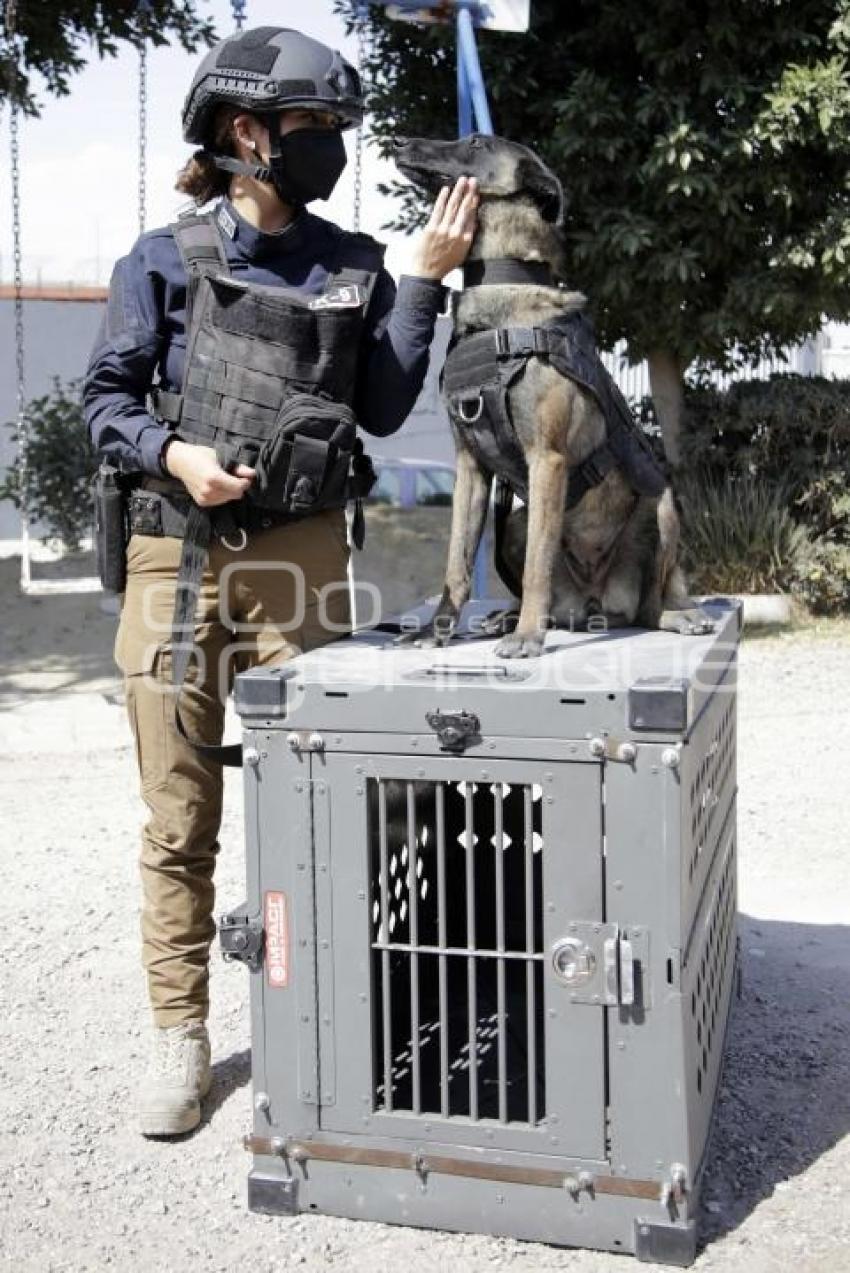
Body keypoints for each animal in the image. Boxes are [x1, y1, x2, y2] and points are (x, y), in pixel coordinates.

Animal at [394, 135, 712, 661]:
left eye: (476, 143)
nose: (399, 142)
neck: (501, 296)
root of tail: (593, 603)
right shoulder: (470, 467)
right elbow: (457, 562)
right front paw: (436, 630)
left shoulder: (548, 459)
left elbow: (536, 568)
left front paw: (528, 637)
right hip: (517, 522)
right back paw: (505, 617)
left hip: (662, 510)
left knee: (651, 605)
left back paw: (673, 616)